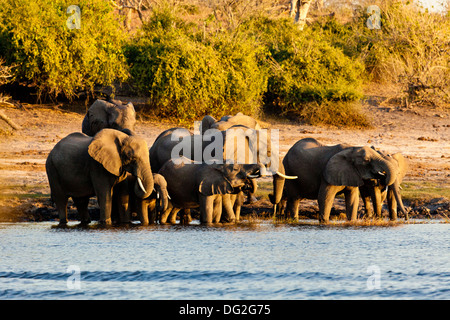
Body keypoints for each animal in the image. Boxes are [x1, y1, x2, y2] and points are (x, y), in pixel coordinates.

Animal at [268, 138, 402, 222]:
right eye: (367, 161)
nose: (382, 177)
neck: (351, 149)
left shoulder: (351, 172)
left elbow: (353, 199)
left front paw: (352, 221)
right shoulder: (328, 174)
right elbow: (325, 198)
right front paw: (324, 222)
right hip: (289, 170)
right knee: (294, 199)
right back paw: (294, 220)